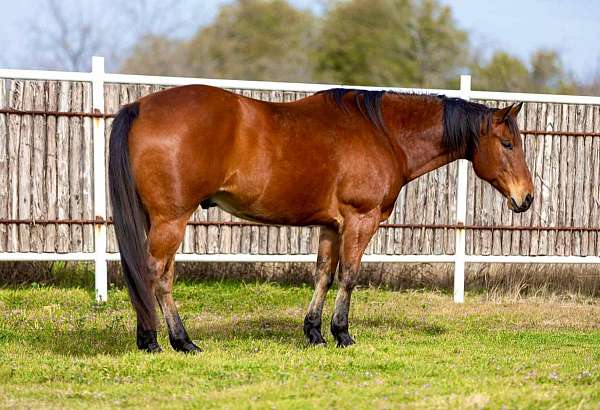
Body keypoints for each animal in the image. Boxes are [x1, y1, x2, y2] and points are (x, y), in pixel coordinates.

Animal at [108, 85, 536, 352]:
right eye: (507, 144)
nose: (526, 198)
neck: (382, 134)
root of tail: (140, 108)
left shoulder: (331, 226)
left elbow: (323, 275)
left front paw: (313, 332)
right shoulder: (360, 220)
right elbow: (349, 275)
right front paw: (342, 333)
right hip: (171, 220)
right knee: (157, 274)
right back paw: (171, 340)